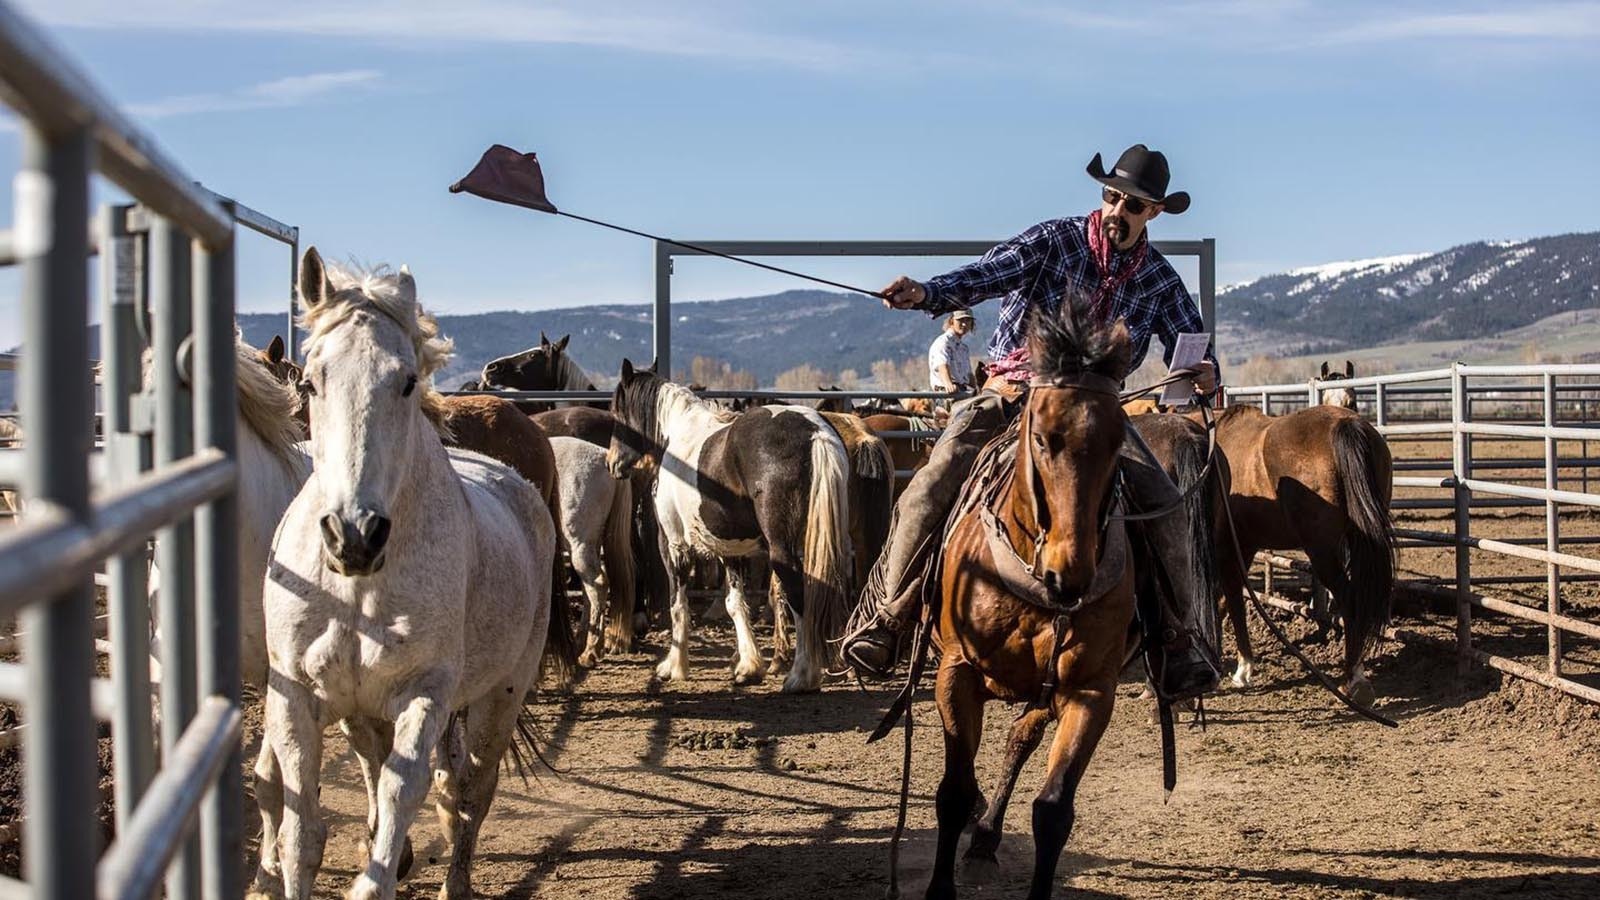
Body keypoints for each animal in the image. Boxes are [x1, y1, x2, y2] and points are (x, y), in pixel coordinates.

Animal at [257, 249, 563, 896]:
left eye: (405, 381)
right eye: (311, 381)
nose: (354, 535)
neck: (355, 589)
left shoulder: (424, 696)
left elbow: (405, 794)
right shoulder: (295, 695)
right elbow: (301, 832)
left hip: (499, 697)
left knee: (472, 789)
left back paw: (456, 881)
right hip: (365, 712)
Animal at [601, 360, 851, 688]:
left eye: (617, 413)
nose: (612, 463)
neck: (676, 438)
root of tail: (815, 432)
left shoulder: (673, 544)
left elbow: (678, 604)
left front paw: (674, 666)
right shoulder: (729, 547)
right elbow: (735, 602)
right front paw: (749, 666)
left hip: (783, 549)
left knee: (798, 594)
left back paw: (801, 676)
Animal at [928, 301, 1139, 896]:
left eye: (1118, 440)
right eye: (1042, 438)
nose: (1071, 573)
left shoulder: (1091, 691)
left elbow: (1053, 811)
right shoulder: (956, 672)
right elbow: (952, 794)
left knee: (1019, 740)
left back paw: (986, 836)